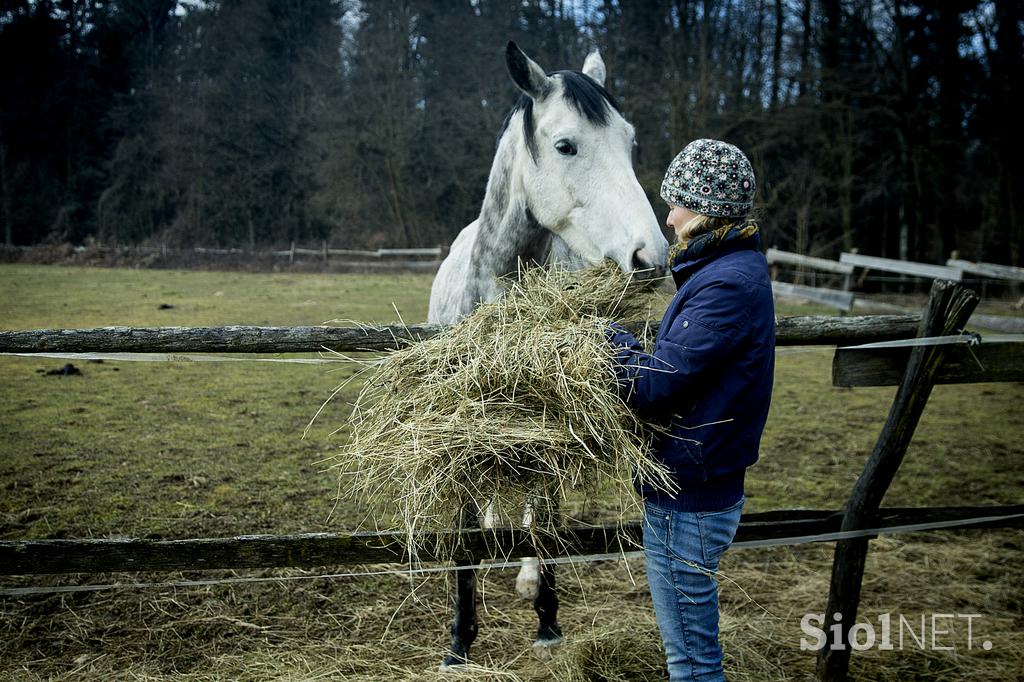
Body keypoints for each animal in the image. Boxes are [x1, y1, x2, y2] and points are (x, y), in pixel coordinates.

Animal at [428, 39, 667, 667]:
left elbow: (548, 519)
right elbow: (466, 536)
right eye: (566, 145)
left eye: (630, 142)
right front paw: (459, 640)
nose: (651, 257)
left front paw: (548, 620)